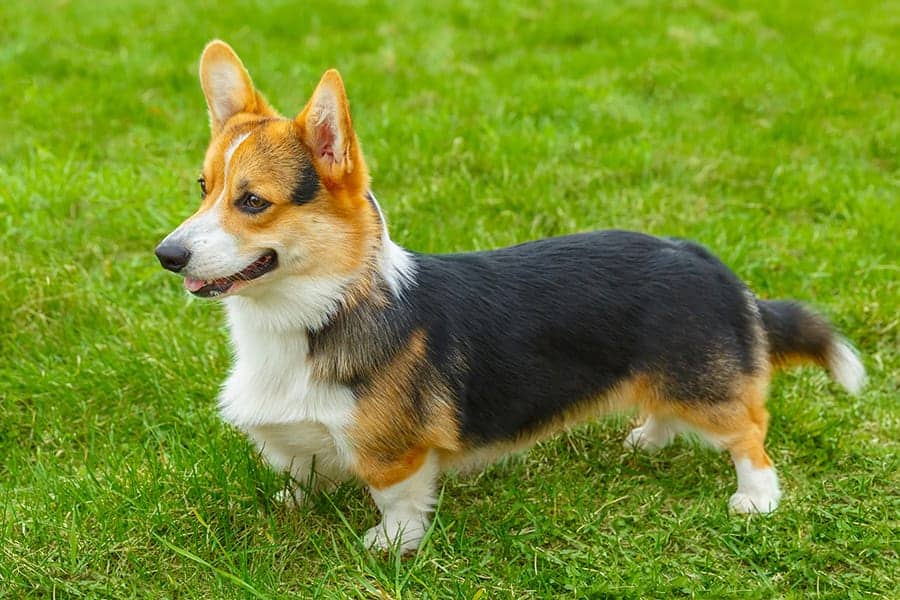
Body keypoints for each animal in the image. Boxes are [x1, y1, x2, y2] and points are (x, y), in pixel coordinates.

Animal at [156, 39, 864, 552]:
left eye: (253, 202)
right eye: (203, 187)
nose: (167, 255)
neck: (318, 312)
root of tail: (705, 259)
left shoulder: (394, 452)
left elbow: (398, 497)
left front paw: (390, 544)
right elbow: (302, 468)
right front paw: (293, 501)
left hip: (705, 387)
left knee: (750, 430)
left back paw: (757, 497)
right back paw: (650, 437)